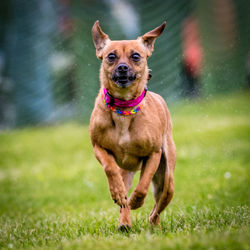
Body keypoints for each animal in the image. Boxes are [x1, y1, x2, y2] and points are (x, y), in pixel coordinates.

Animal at [89, 21, 176, 230]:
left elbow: (143, 184)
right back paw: (125, 222)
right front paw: (118, 193)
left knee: (157, 206)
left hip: (167, 178)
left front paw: (137, 200)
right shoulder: (98, 147)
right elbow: (110, 169)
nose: (122, 67)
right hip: (126, 173)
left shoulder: (153, 154)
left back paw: (152, 222)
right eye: (111, 56)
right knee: (125, 198)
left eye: (136, 56)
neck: (124, 108)